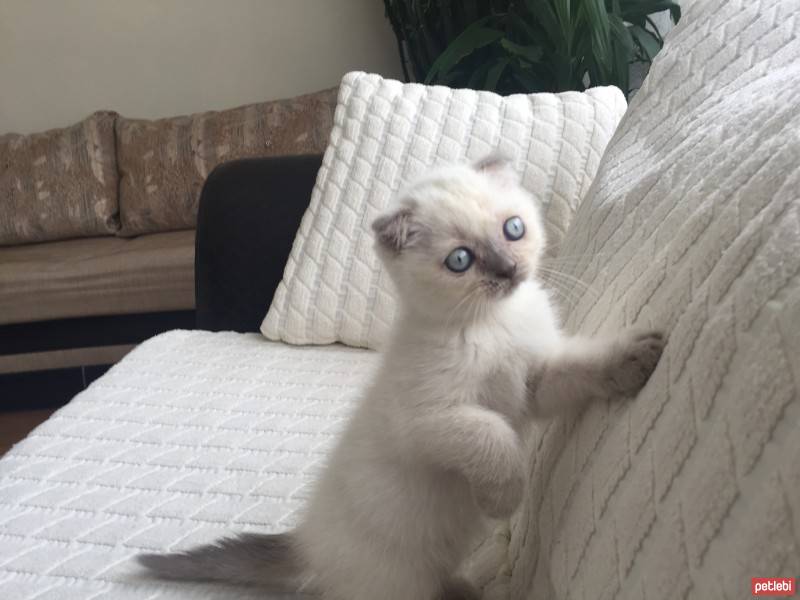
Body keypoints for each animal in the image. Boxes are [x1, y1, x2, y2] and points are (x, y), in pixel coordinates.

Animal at [138, 156, 664, 600]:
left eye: (513, 229)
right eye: (460, 260)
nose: (508, 269)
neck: (492, 323)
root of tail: (307, 544)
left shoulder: (535, 384)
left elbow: (584, 366)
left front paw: (639, 358)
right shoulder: (432, 421)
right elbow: (494, 437)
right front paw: (503, 502)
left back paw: (468, 592)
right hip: (400, 582)